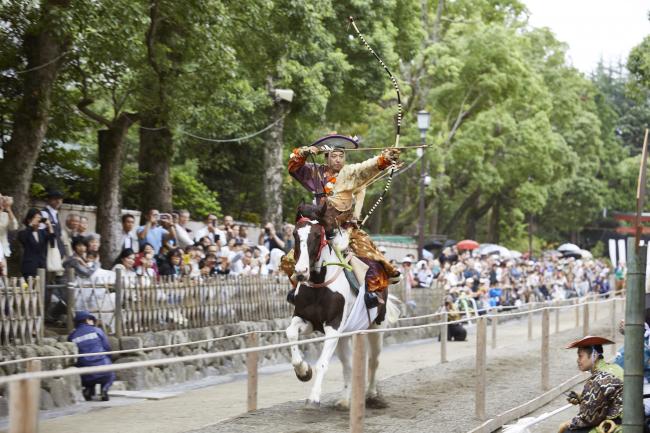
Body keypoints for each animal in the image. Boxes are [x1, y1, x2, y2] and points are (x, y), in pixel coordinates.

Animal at [284, 202, 400, 408]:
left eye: (317, 235)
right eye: (295, 234)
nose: (301, 272)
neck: (319, 284)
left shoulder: (333, 326)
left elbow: (322, 363)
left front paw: (314, 397)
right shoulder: (308, 320)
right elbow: (291, 333)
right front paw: (303, 371)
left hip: (376, 326)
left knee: (374, 360)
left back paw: (372, 394)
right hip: (346, 334)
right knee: (349, 365)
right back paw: (345, 400)